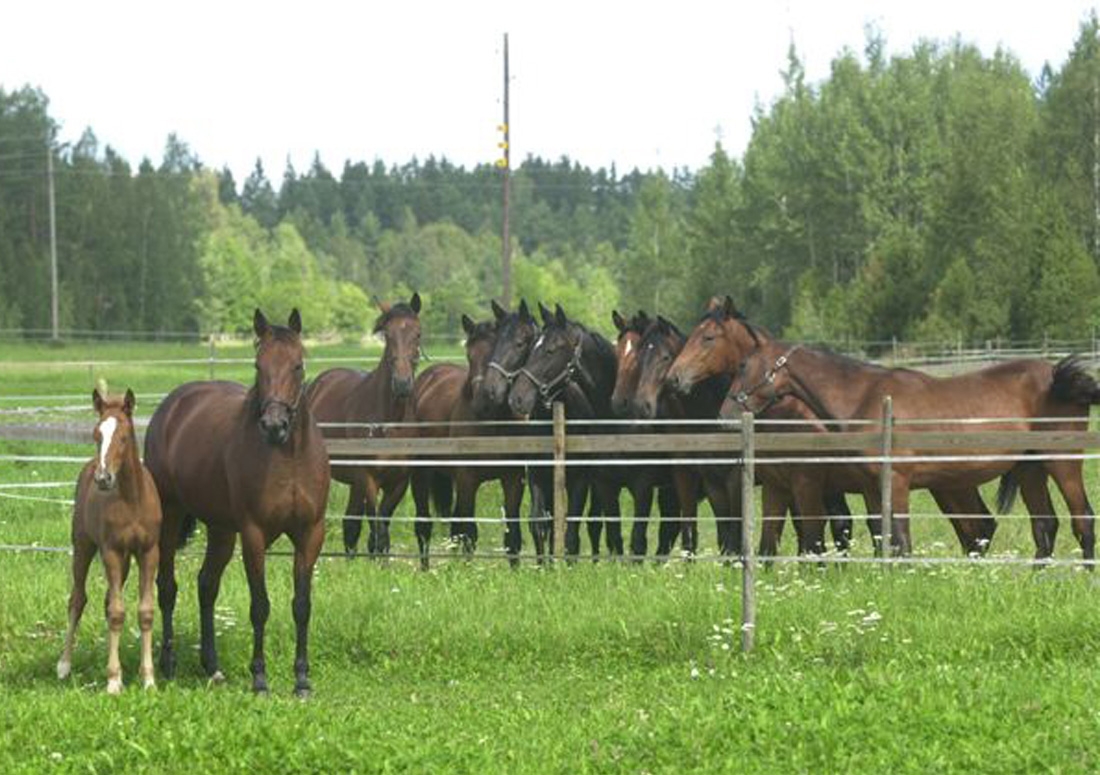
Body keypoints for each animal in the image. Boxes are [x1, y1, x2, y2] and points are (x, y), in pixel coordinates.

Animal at [57, 389, 160, 690]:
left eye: (124, 436)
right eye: (96, 435)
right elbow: (116, 612)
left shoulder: (149, 551)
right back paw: (64, 665)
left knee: (105, 601)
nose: (103, 478)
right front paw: (114, 681)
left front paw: (148, 678)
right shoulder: (111, 551)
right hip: (83, 547)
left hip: (125, 560)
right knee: (77, 599)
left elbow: (144, 611)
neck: (132, 500)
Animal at [144, 307, 330, 694]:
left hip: (221, 530)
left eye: (298, 365)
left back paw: (212, 667)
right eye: (258, 365)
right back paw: (168, 663)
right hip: (171, 516)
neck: (289, 458)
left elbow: (302, 605)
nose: (274, 425)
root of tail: (172, 406)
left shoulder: (310, 533)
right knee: (167, 587)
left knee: (206, 585)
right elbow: (259, 605)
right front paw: (259, 678)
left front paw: (302, 680)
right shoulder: (254, 534)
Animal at [308, 292, 422, 556]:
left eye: (418, 334)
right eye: (387, 335)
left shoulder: (399, 481)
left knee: (350, 523)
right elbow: (376, 526)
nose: (402, 384)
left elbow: (383, 523)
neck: (389, 421)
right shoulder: (367, 478)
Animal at [721, 336, 1100, 558]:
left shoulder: (895, 481)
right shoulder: (872, 487)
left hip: (1062, 462)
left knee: (1081, 518)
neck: (864, 398)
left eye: (742, 366)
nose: (724, 415)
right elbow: (882, 537)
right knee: (1044, 526)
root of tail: (1061, 377)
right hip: (1029, 469)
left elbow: (900, 539)